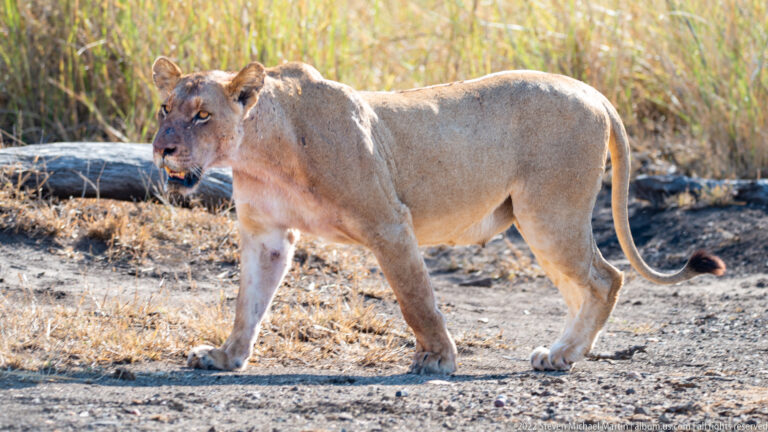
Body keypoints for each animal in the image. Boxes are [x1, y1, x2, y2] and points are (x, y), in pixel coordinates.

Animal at [150, 57, 725, 373]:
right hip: (543, 222)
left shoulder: (388, 221)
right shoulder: (266, 234)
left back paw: (562, 355)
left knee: (606, 278)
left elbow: (416, 299)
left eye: (202, 115)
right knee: (584, 286)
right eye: (165, 109)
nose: (162, 149)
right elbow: (247, 304)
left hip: (549, 213)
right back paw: (564, 352)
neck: (259, 152)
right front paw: (226, 357)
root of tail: (594, 93)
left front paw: (437, 360)